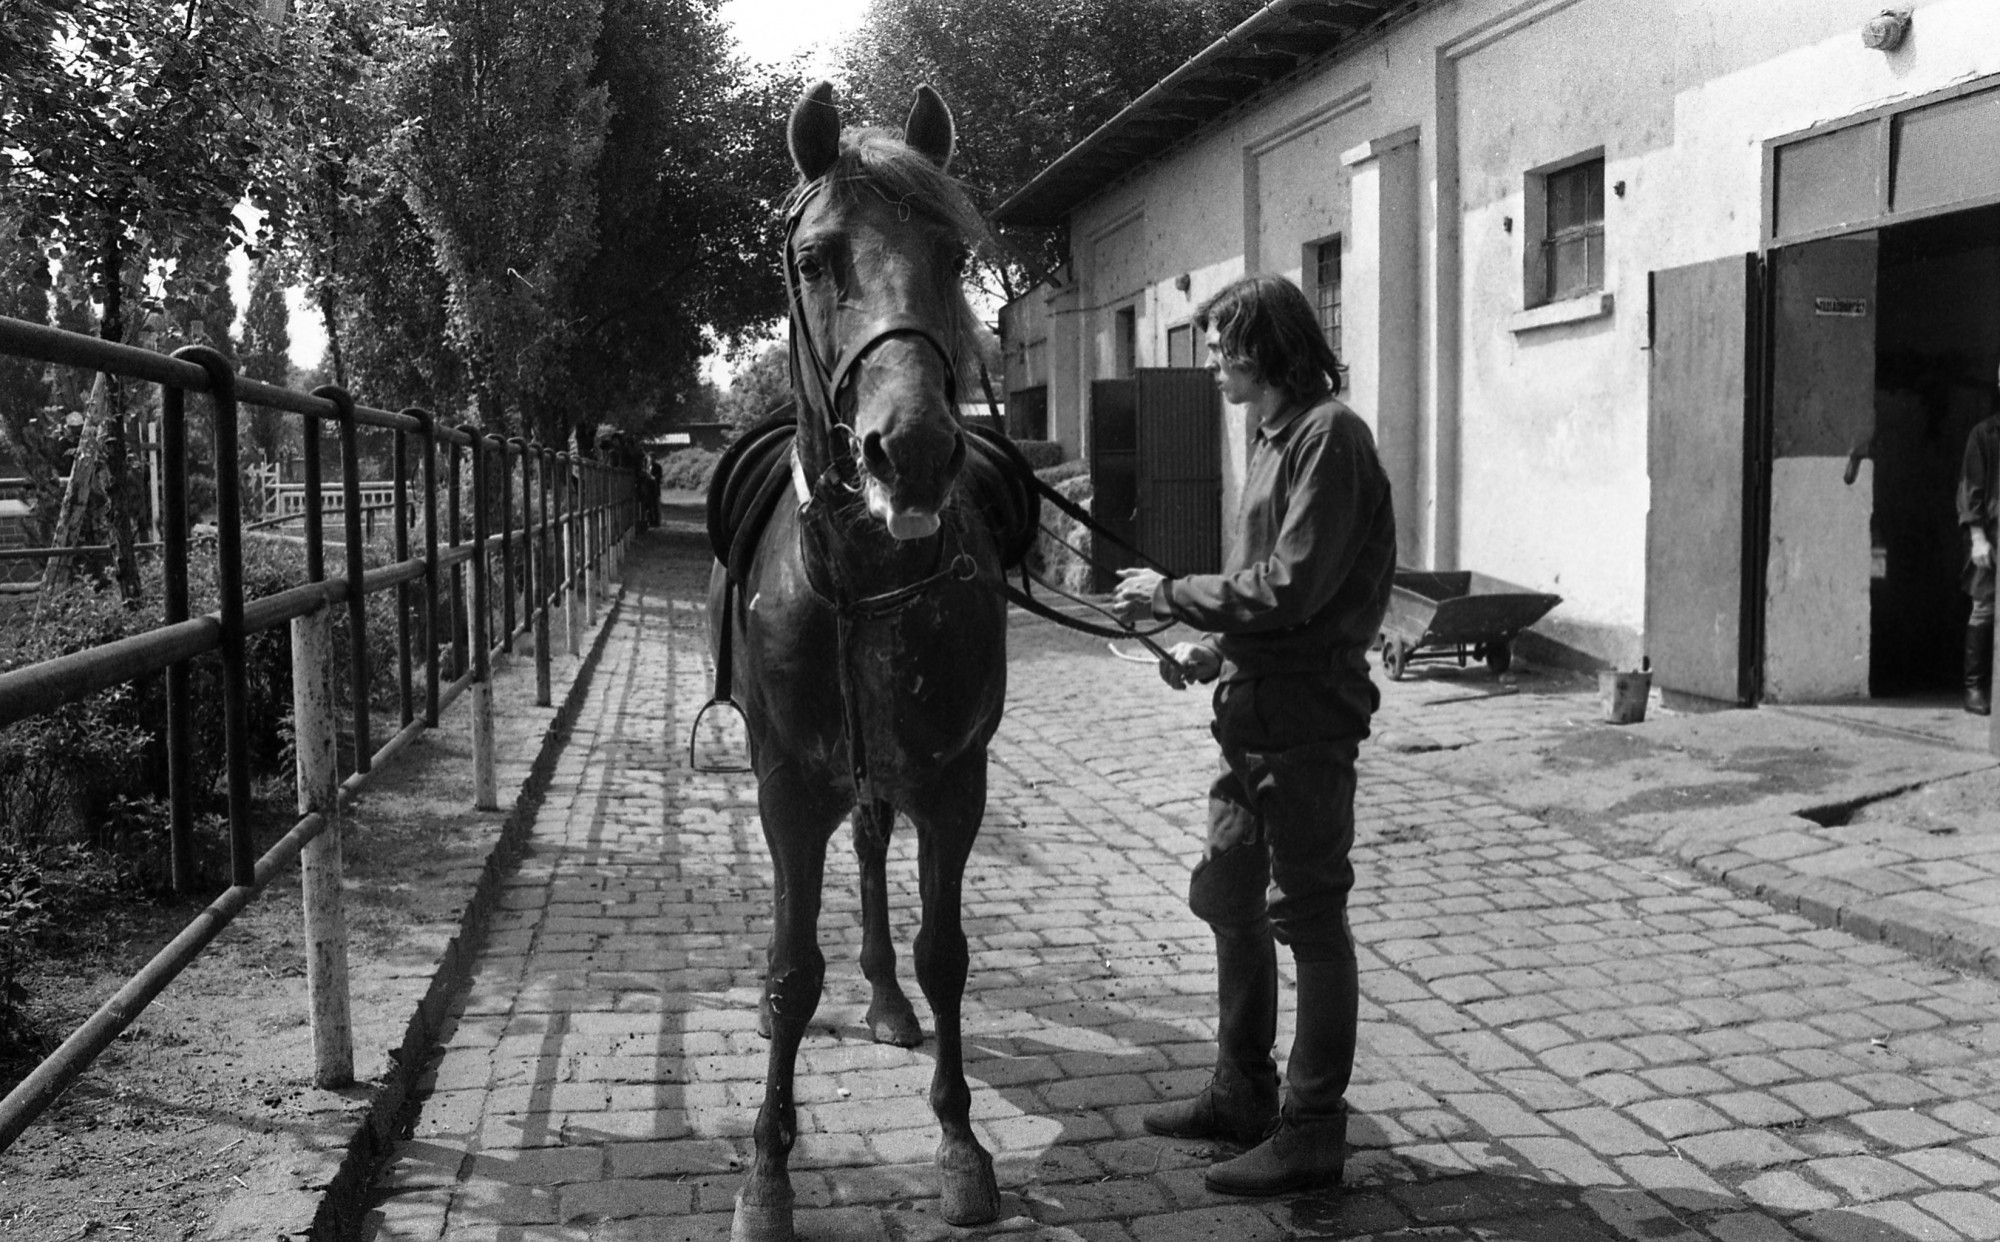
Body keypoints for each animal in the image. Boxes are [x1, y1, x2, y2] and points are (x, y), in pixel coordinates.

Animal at [708, 80, 1016, 1240]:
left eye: (952, 251)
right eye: (814, 259)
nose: (913, 450)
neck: (869, 575)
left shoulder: (954, 780)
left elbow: (945, 955)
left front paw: (961, 1146)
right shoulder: (788, 787)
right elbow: (792, 972)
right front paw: (766, 1171)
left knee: (879, 854)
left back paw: (884, 1000)